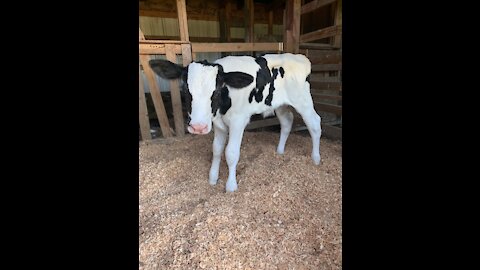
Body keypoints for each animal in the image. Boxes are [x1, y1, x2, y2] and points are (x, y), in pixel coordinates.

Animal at [149, 52, 322, 192]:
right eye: (185, 89)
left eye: (216, 91)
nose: (198, 127)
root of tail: (299, 57)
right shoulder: (218, 124)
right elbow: (217, 149)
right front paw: (213, 178)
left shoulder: (238, 120)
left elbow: (231, 153)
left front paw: (231, 186)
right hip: (279, 104)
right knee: (287, 121)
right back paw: (280, 151)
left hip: (303, 101)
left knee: (314, 123)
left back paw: (316, 158)